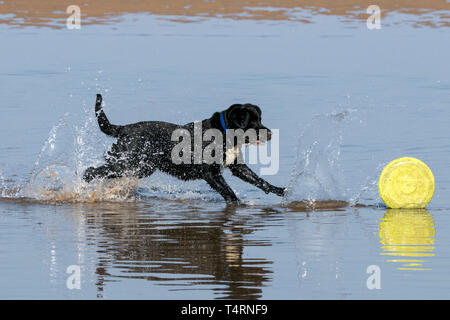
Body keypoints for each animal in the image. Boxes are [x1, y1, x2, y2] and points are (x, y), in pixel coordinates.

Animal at [84, 94, 284, 202]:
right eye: (252, 122)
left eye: (260, 119)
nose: (270, 133)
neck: (224, 133)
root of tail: (124, 128)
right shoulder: (210, 173)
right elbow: (228, 190)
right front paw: (236, 202)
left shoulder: (237, 166)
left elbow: (259, 180)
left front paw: (280, 190)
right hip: (128, 163)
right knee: (91, 171)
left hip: (140, 167)